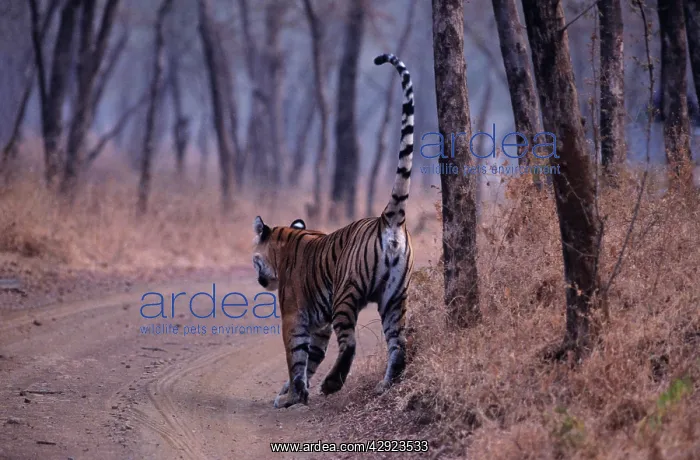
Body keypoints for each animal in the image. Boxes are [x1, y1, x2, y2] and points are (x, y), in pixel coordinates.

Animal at [252, 53, 415, 408]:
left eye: (254, 260)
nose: (259, 280)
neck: (286, 240)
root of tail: (388, 218)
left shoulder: (295, 316)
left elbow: (296, 358)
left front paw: (291, 396)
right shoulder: (318, 326)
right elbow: (309, 359)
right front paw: (291, 393)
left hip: (345, 293)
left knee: (350, 343)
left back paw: (332, 384)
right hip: (394, 298)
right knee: (398, 344)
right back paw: (384, 386)